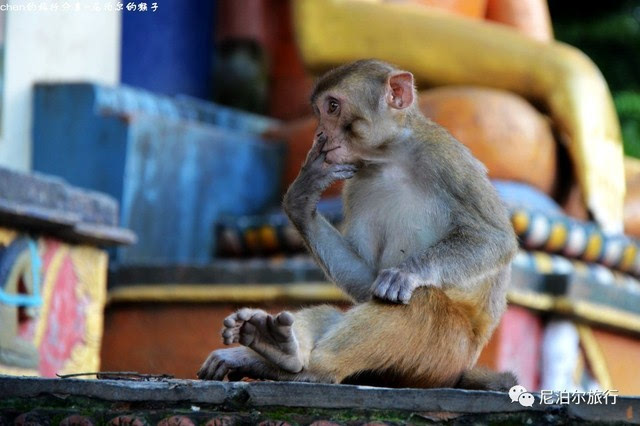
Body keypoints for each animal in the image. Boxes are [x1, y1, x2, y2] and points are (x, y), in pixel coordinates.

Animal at [200, 59, 520, 390]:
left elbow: (495, 238)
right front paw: (301, 198)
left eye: (332, 106)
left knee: (419, 302)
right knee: (338, 316)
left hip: (445, 355)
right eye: (320, 111)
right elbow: (367, 281)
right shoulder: (356, 186)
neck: (391, 158)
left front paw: (407, 272)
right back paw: (276, 348)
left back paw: (310, 367)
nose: (319, 133)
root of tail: (459, 372)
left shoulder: (444, 158)